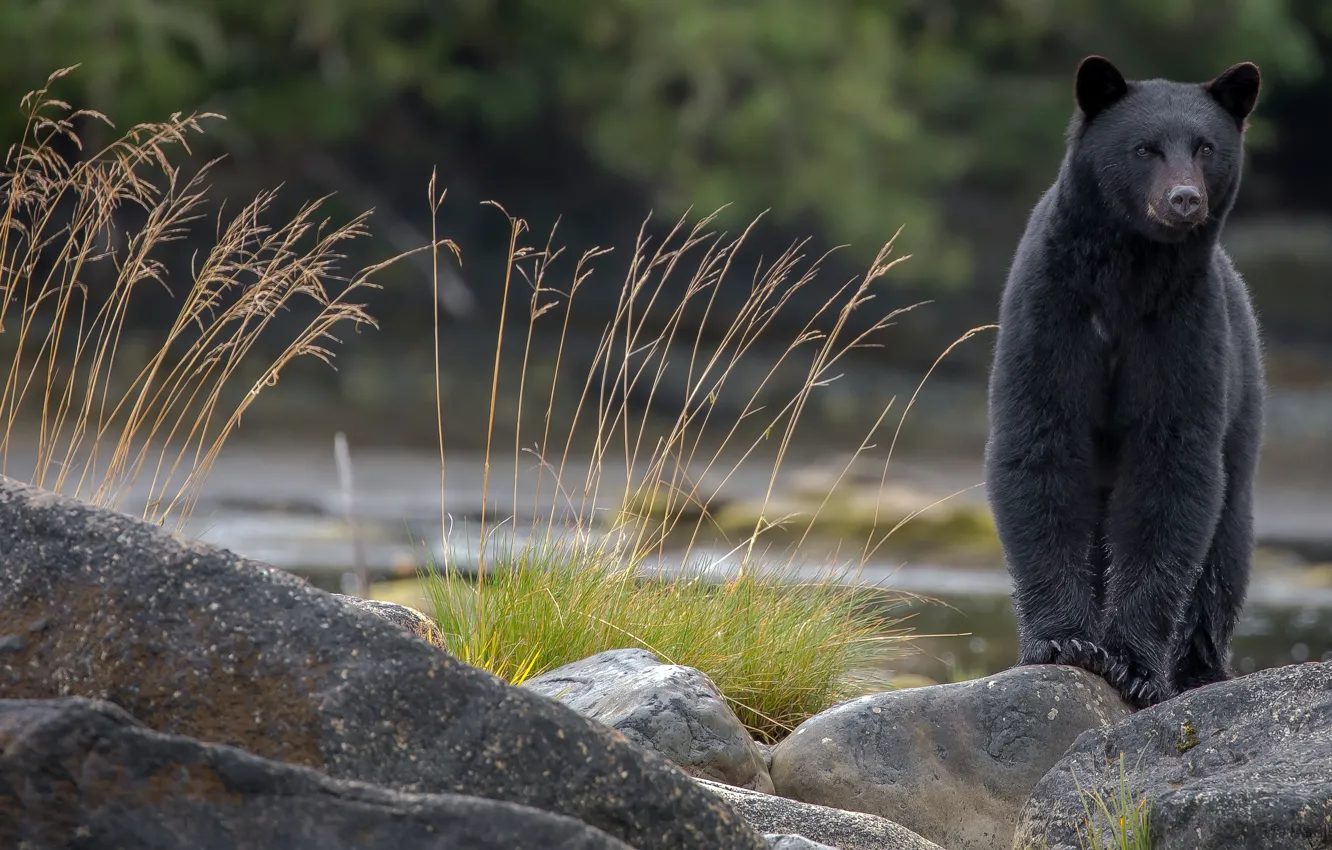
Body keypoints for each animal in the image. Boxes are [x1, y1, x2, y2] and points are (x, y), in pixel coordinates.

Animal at [991, 58, 1268, 714]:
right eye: (1145, 148)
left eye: (1205, 146)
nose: (1183, 199)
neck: (1129, 273)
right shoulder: (1053, 312)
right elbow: (1040, 442)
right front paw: (1065, 641)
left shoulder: (1181, 329)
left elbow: (1173, 468)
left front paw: (1134, 663)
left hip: (1243, 394)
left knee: (1226, 544)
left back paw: (1199, 668)